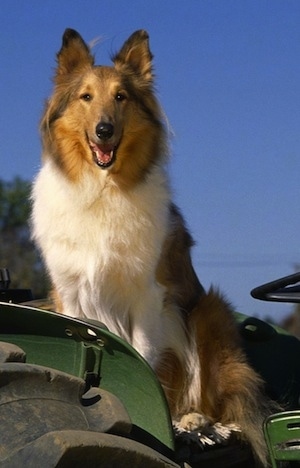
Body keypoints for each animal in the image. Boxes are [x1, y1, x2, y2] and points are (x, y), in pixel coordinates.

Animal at [31, 28, 274, 464]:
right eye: (86, 97)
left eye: (121, 97)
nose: (104, 130)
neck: (102, 190)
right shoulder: (69, 294)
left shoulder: (148, 293)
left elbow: (143, 360)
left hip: (209, 311)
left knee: (225, 404)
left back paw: (196, 423)